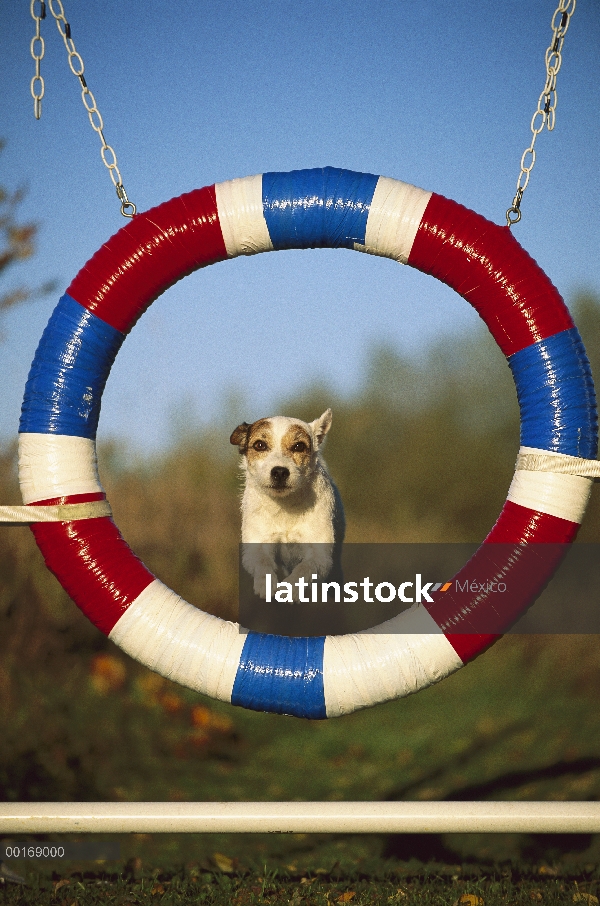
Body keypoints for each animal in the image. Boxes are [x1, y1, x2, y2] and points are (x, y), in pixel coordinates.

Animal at [230, 410, 344, 600]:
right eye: (260, 445)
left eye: (299, 446)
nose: (279, 471)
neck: (285, 505)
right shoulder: (256, 548)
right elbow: (263, 561)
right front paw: (265, 584)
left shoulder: (320, 557)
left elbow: (304, 568)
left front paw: (290, 587)